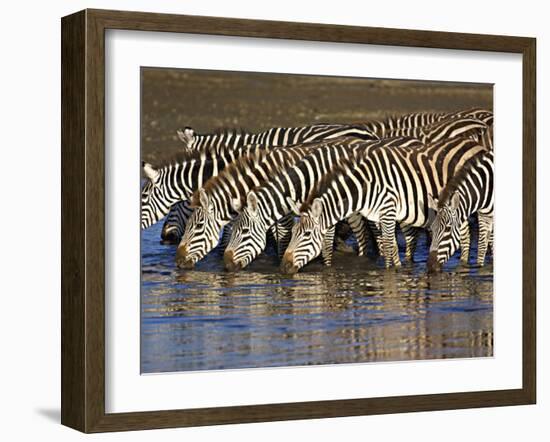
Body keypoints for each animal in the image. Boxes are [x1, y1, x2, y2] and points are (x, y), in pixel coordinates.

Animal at [282, 136, 490, 272]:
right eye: (293, 232)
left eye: (307, 234)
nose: (284, 267)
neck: (364, 188)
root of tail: (473, 142)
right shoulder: (378, 215)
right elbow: (388, 245)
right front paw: (395, 268)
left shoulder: (388, 210)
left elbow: (390, 245)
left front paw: (391, 274)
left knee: (469, 234)